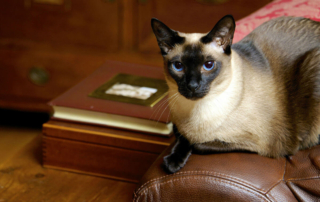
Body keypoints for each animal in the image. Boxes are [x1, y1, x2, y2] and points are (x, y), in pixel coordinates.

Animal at [151, 15, 320, 174]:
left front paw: (172, 163)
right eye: (178, 66)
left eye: (208, 65)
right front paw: (172, 163)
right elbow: (181, 137)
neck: (194, 111)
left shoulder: (261, 143)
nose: (192, 86)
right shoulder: (177, 125)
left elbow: (197, 144)